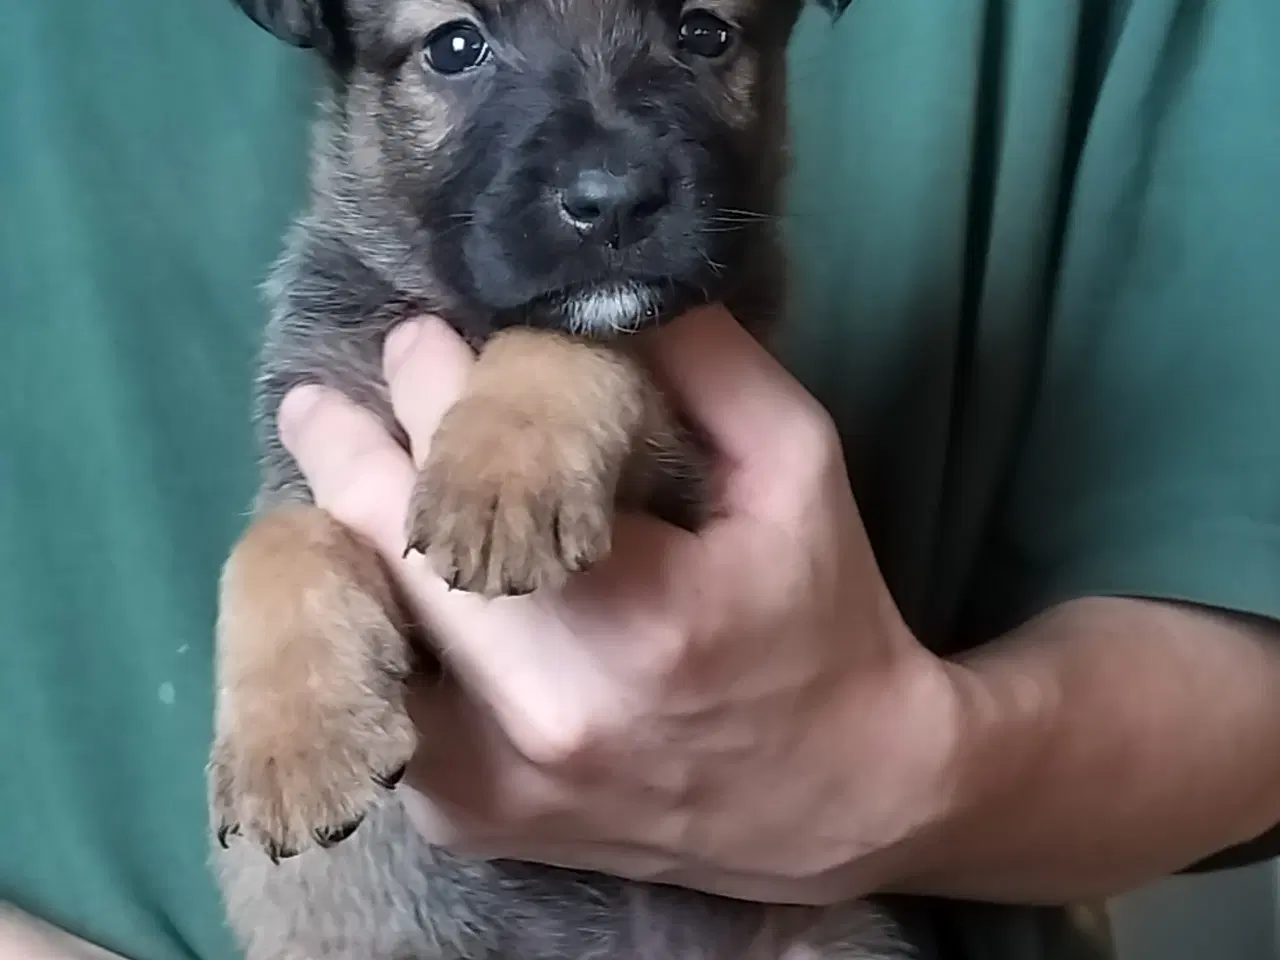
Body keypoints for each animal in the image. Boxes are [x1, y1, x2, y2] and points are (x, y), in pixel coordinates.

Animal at [209, 1, 911, 960]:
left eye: (704, 34)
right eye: (454, 46)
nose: (614, 203)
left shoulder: (688, 465)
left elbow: (572, 338)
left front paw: (504, 464)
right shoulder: (311, 447)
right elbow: (272, 543)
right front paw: (292, 741)